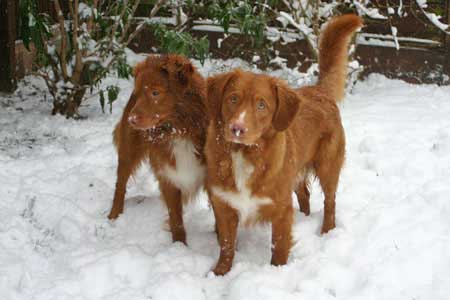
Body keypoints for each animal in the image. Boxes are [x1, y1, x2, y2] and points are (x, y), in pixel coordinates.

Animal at [109, 54, 207, 244]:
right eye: (139, 93)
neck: (180, 131)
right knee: (120, 185)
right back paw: (113, 216)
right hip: (128, 151)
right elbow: (176, 219)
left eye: (155, 93)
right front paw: (179, 246)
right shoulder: (169, 175)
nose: (131, 120)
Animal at [204, 15, 362, 276]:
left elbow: (279, 245)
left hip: (328, 166)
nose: (237, 128)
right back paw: (305, 216)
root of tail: (319, 90)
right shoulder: (224, 205)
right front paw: (219, 273)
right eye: (233, 98)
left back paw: (326, 230)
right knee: (305, 194)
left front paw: (276, 272)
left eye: (261, 105)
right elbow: (226, 245)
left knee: (330, 201)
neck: (244, 155)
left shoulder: (280, 208)